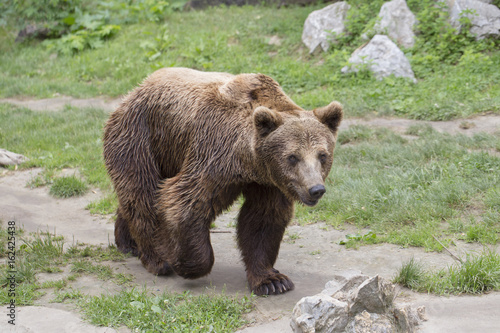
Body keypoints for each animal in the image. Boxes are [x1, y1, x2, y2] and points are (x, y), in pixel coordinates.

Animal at [102, 66, 344, 294]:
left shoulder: (269, 182)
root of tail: (134, 91)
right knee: (142, 192)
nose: (315, 189)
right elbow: (186, 202)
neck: (249, 163)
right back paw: (157, 259)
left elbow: (262, 220)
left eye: (323, 155)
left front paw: (272, 281)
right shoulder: (214, 154)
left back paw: (128, 243)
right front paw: (185, 264)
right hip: (140, 137)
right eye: (293, 157)